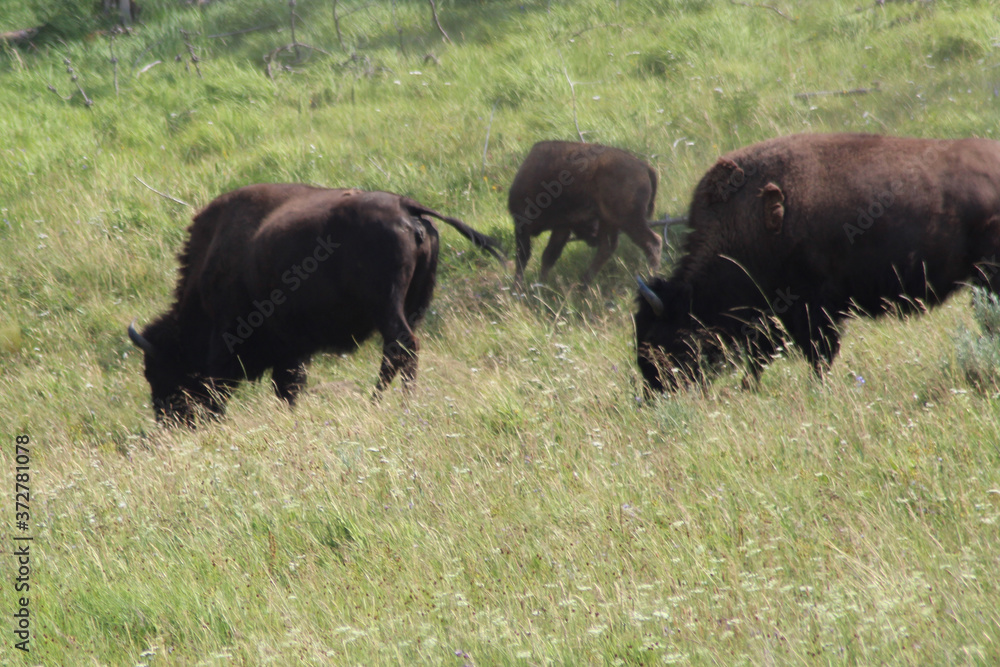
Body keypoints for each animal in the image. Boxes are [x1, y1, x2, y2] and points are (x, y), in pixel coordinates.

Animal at [131, 183, 508, 422]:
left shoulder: (236, 343)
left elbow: (256, 385)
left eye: (158, 370)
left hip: (386, 307)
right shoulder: (292, 348)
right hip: (412, 305)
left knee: (402, 348)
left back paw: (384, 404)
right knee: (400, 352)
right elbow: (289, 385)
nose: (167, 420)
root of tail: (406, 206)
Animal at [508, 141, 664, 284]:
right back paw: (584, 283)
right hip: (609, 221)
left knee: (653, 243)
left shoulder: (524, 225)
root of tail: (644, 166)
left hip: (628, 220)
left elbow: (524, 257)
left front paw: (521, 288)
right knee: (607, 248)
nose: (593, 234)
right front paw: (541, 285)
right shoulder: (561, 227)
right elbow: (547, 256)